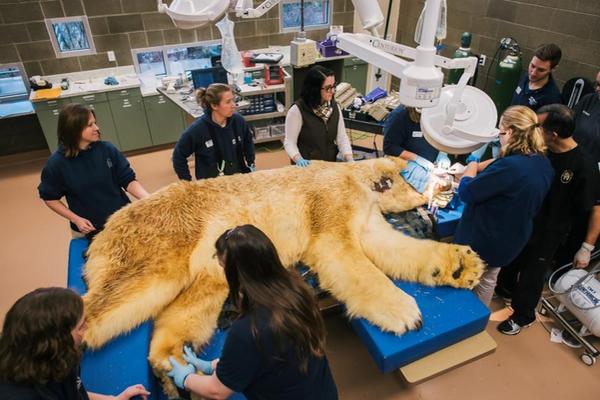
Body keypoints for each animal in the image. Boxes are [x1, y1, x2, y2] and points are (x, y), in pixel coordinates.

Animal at [81, 156, 482, 394]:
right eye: (427, 173)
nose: (449, 187)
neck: (352, 175)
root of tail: (105, 229)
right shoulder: (329, 202)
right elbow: (342, 254)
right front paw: (406, 313)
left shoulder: (366, 215)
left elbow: (389, 245)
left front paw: (463, 265)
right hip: (160, 244)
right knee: (116, 296)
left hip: (211, 267)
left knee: (189, 306)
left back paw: (174, 365)